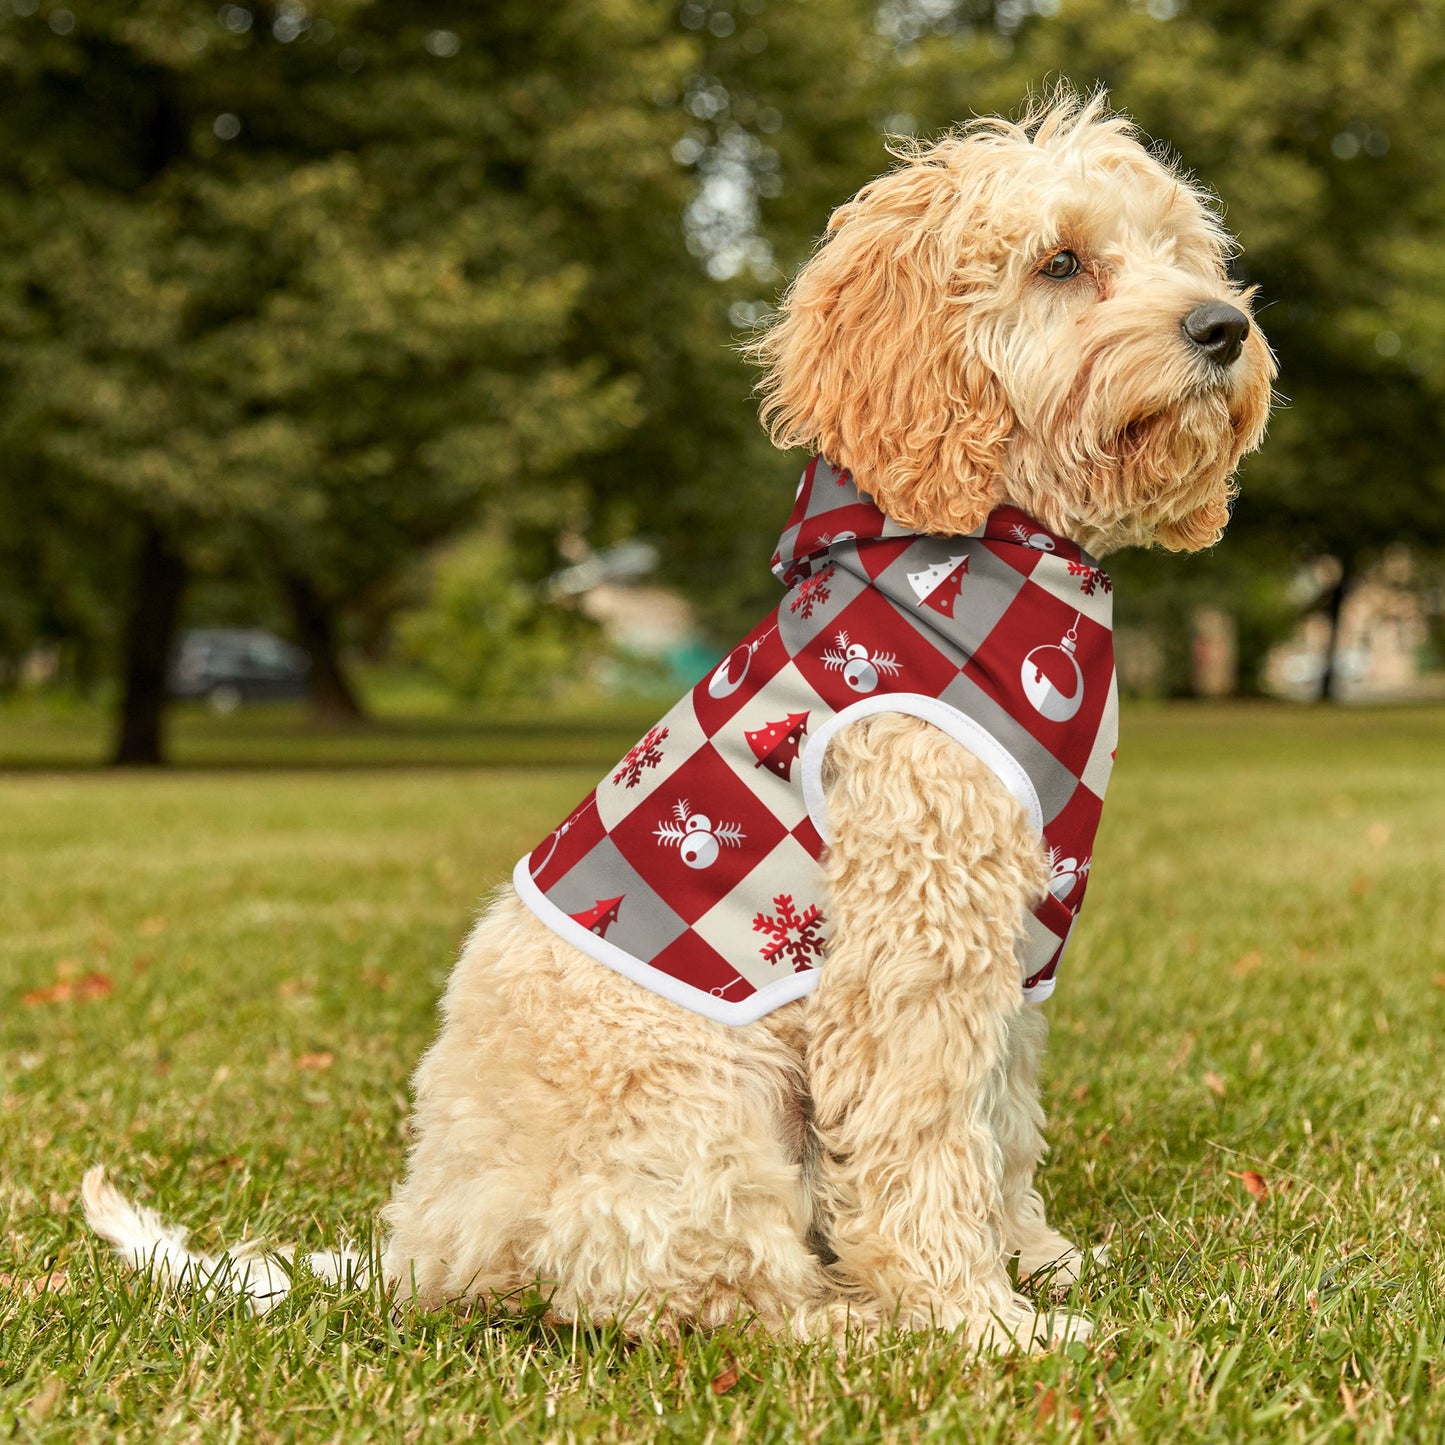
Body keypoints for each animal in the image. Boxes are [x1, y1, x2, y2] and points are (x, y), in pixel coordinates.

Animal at [84, 90, 1271, 1352]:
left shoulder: (1014, 939)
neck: (985, 552)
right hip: (703, 1105)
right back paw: (852, 1322)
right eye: (1059, 261)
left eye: (1181, 252)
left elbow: (999, 1122)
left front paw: (1035, 1260)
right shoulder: (911, 944)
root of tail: (424, 1247)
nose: (1222, 327)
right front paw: (977, 1319)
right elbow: (924, 1140)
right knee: (699, 1291)